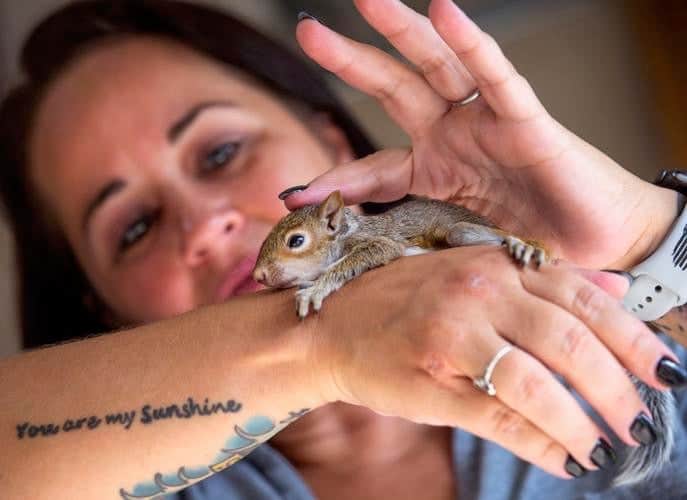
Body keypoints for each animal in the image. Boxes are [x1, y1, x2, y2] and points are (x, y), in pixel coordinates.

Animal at [253, 190, 675, 487]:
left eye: (295, 241)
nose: (257, 276)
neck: (350, 232)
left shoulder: (380, 243)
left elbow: (356, 260)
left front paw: (315, 288)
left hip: (463, 232)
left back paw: (521, 245)